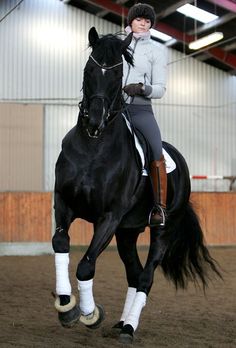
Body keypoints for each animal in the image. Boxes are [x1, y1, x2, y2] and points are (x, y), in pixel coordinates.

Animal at [52, 26, 221, 342]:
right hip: (127, 232)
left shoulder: (109, 216)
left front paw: (91, 315)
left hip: (162, 230)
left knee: (145, 276)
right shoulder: (64, 203)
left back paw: (129, 328)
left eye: (119, 74)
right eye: (89, 68)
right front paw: (67, 307)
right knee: (133, 272)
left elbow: (86, 265)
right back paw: (121, 323)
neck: (94, 147)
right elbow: (60, 244)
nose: (95, 121)